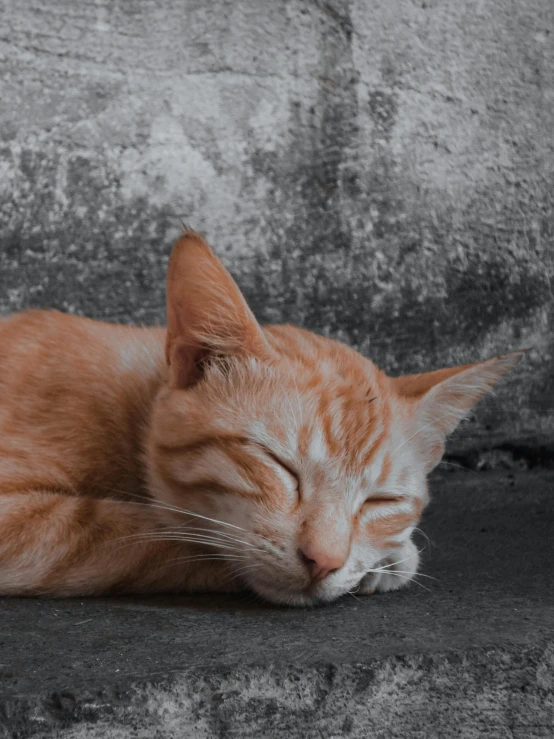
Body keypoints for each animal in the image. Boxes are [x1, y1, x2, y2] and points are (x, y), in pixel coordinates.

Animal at [0, 231, 516, 608]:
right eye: (280, 466)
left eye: (381, 501)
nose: (325, 561)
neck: (136, 409)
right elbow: (153, 531)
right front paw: (391, 560)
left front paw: (383, 557)